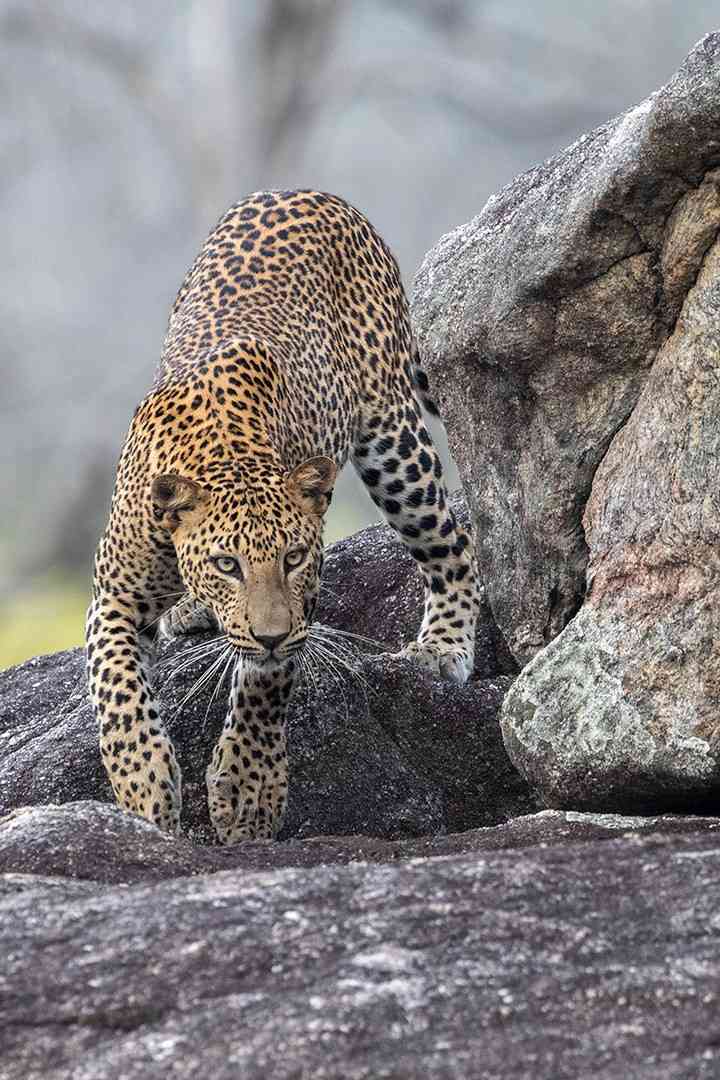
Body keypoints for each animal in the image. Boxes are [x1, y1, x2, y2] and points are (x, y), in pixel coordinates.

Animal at [86, 189, 481, 844]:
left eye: (293, 559)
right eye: (226, 564)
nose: (268, 633)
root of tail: (317, 194)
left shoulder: (301, 602)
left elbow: (264, 686)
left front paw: (248, 790)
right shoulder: (114, 595)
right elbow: (116, 689)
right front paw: (144, 784)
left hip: (394, 440)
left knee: (452, 542)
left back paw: (443, 646)